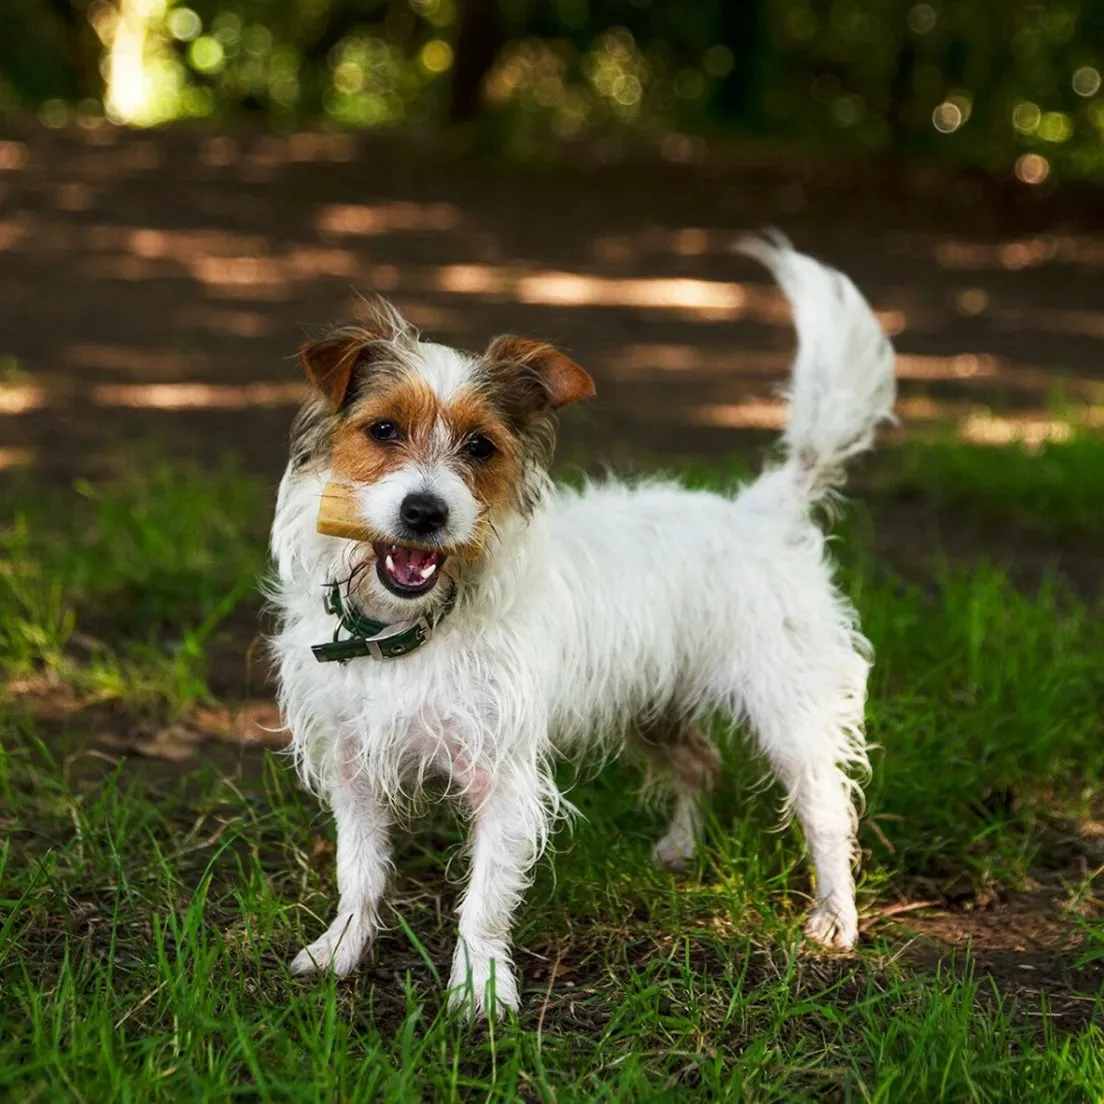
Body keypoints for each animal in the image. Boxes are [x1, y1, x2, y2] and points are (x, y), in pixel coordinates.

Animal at [267, 239, 896, 1015]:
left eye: (480, 447)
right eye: (382, 429)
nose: (425, 512)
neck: (408, 630)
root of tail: (762, 510)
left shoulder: (505, 779)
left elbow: (484, 898)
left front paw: (479, 990)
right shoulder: (355, 769)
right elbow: (359, 872)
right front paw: (341, 951)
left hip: (790, 718)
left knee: (826, 813)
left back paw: (835, 918)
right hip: (654, 706)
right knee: (701, 764)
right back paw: (681, 848)